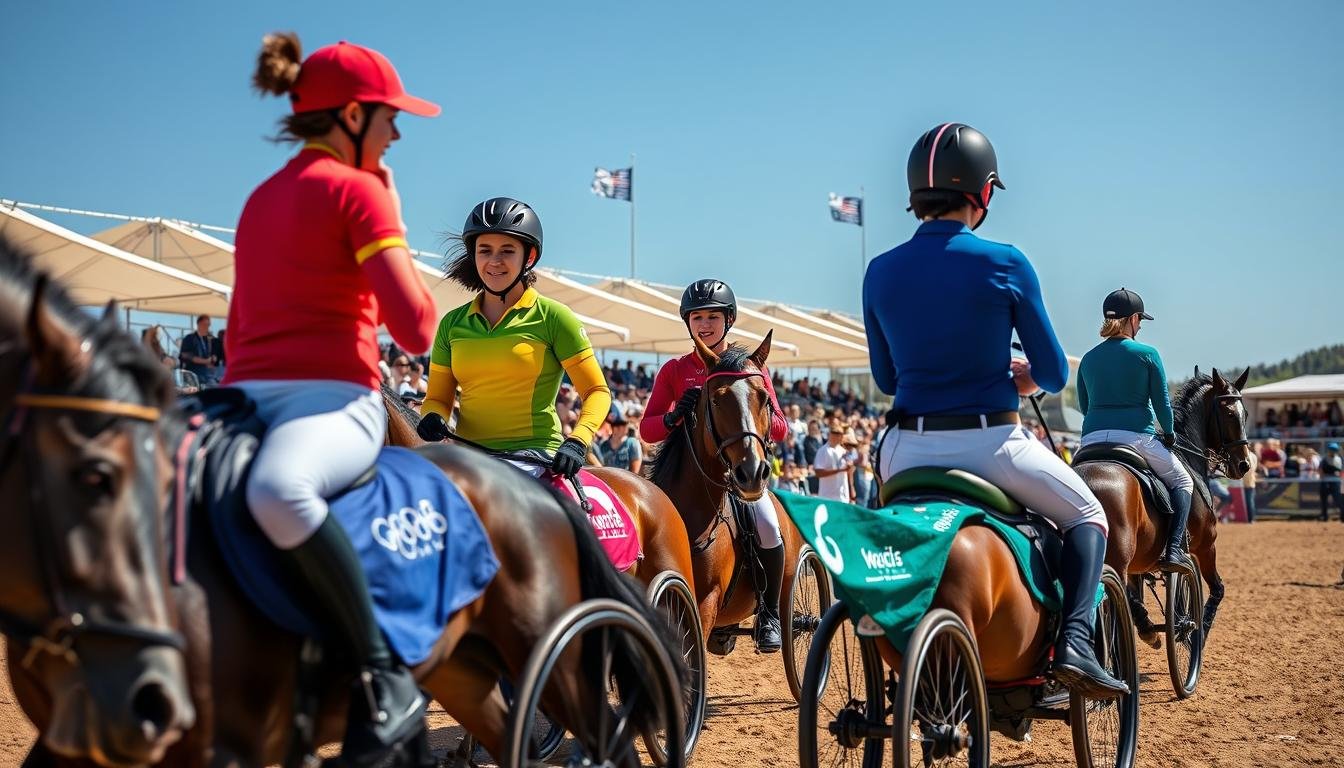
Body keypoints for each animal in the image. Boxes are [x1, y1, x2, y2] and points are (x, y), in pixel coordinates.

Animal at [1075, 368, 1252, 642]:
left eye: (1246, 415)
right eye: (1231, 414)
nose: (1244, 464)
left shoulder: (1140, 563)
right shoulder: (1205, 546)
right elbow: (1215, 589)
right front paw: (1198, 631)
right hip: (1119, 559)